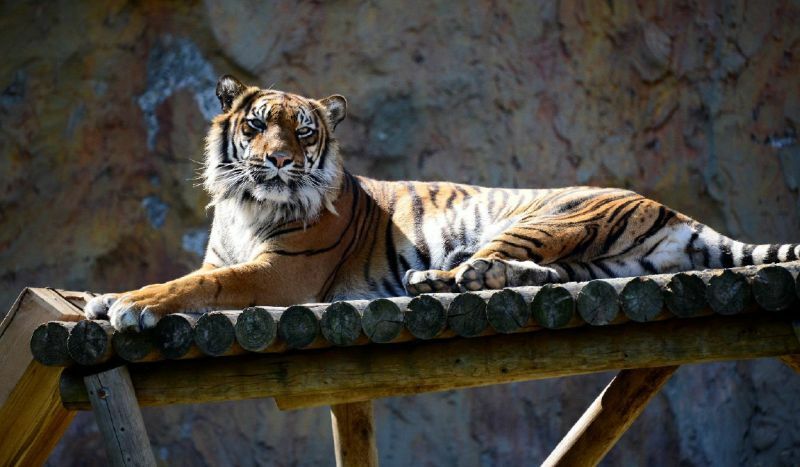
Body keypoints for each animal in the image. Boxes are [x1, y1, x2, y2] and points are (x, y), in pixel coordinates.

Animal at [86, 75, 800, 332]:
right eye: (258, 125)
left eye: (304, 132)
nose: (281, 161)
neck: (246, 203)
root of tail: (673, 213)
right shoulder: (228, 256)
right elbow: (192, 274)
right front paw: (106, 297)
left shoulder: (280, 274)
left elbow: (195, 285)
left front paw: (129, 304)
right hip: (593, 262)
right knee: (521, 273)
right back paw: (437, 277)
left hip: (541, 219)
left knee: (487, 266)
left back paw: (433, 276)